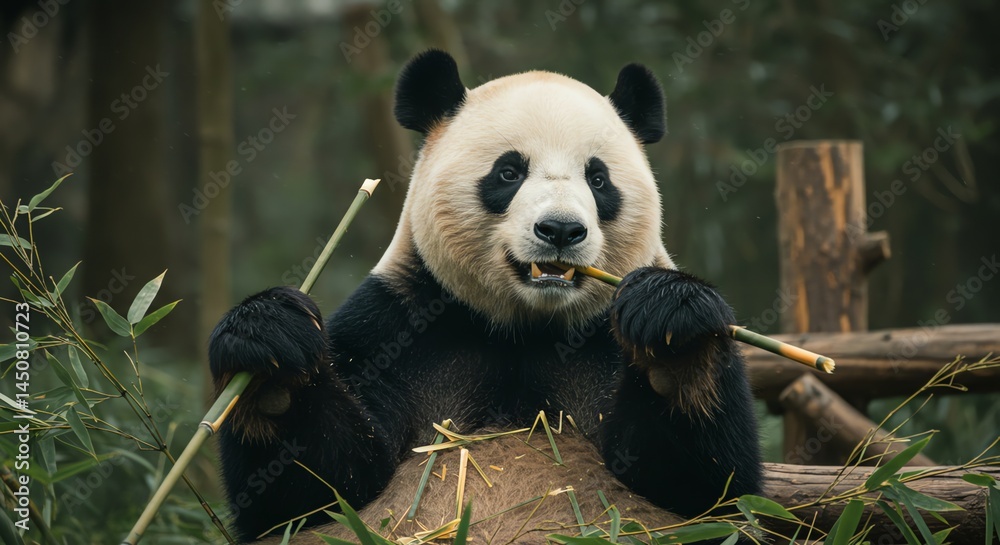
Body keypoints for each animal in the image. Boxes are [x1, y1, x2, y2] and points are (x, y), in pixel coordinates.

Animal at [208, 50, 762, 544]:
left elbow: (707, 490)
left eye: (599, 178)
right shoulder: (395, 326)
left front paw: (674, 335)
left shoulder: (601, 337)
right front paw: (269, 357)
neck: (524, 327)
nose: (561, 230)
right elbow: (313, 492)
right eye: (508, 172)